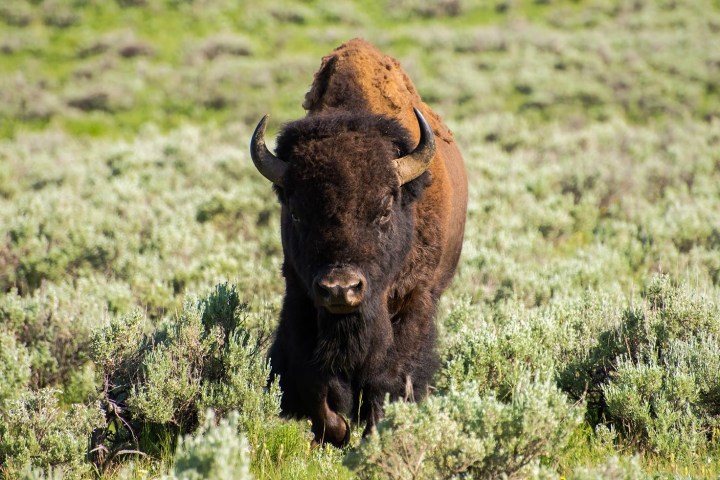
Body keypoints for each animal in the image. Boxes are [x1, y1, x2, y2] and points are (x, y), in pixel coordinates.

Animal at [250, 38, 467, 447]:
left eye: (383, 208)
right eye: (297, 213)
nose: (340, 289)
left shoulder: (414, 300)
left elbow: (388, 377)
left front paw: (374, 432)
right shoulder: (301, 295)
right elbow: (314, 380)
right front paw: (337, 430)